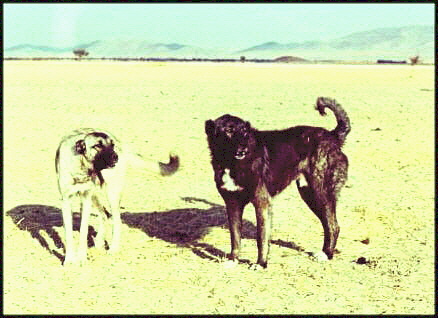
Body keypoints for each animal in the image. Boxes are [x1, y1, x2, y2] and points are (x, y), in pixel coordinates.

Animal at [206, 97, 352, 268]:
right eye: (228, 131)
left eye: (244, 132)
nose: (243, 149)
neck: (231, 163)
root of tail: (332, 136)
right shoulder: (232, 204)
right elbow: (235, 237)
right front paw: (233, 260)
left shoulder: (262, 203)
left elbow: (261, 237)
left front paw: (261, 263)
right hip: (310, 195)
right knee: (329, 225)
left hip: (321, 194)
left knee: (333, 225)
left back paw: (326, 254)